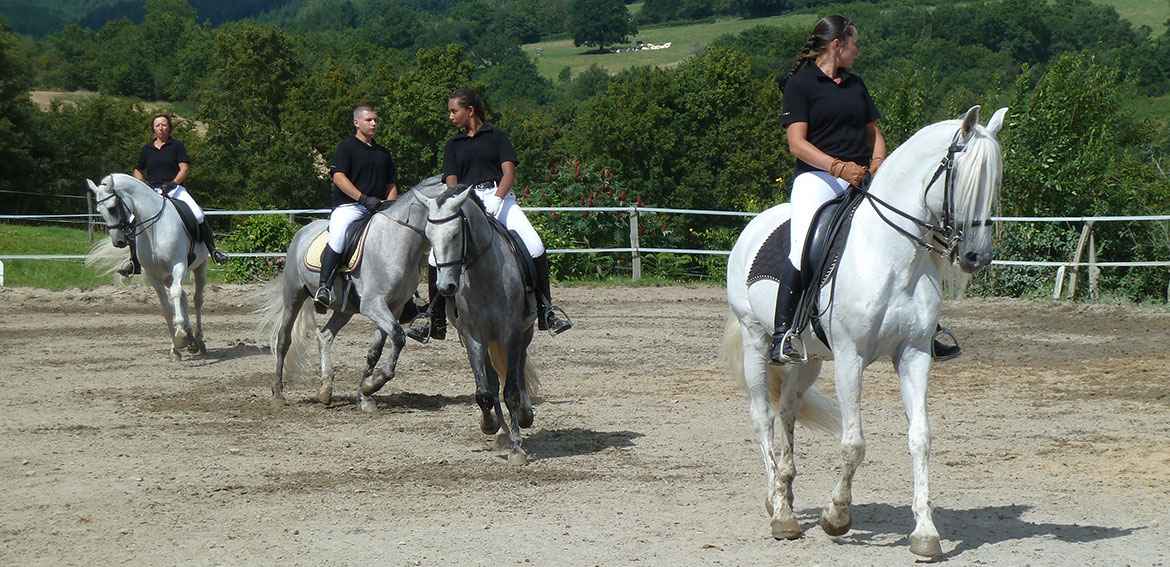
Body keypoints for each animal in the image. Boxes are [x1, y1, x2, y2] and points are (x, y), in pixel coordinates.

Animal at [84, 171, 210, 360]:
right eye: (99, 211)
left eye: (113, 207)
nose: (118, 242)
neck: (154, 229)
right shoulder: (153, 274)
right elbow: (166, 307)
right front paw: (175, 347)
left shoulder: (178, 265)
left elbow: (175, 294)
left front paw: (180, 336)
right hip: (167, 277)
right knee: (183, 296)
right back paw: (190, 339)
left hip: (199, 267)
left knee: (197, 299)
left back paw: (198, 340)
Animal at [256, 174, 439, 409]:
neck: (396, 241)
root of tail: (304, 230)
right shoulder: (374, 305)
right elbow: (398, 338)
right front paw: (373, 385)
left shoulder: (394, 307)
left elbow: (376, 350)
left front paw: (365, 395)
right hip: (294, 296)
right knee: (283, 340)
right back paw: (278, 392)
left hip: (345, 309)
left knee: (325, 336)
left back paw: (325, 390)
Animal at [418, 183, 540, 465]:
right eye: (429, 236)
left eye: (455, 235)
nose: (446, 287)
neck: (483, 275)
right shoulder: (474, 337)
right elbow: (484, 392)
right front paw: (490, 425)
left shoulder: (511, 334)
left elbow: (511, 390)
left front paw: (517, 449)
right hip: (486, 341)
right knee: (493, 384)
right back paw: (503, 430)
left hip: (523, 334)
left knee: (518, 369)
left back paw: (523, 417)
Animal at [720, 104, 1006, 554]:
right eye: (962, 178)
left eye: (994, 181)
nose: (977, 257)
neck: (892, 256)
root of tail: (754, 226)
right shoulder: (850, 358)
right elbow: (854, 443)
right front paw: (836, 516)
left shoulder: (915, 355)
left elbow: (921, 437)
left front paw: (925, 533)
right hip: (756, 340)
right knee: (762, 417)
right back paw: (779, 512)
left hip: (809, 360)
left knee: (787, 411)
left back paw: (786, 489)